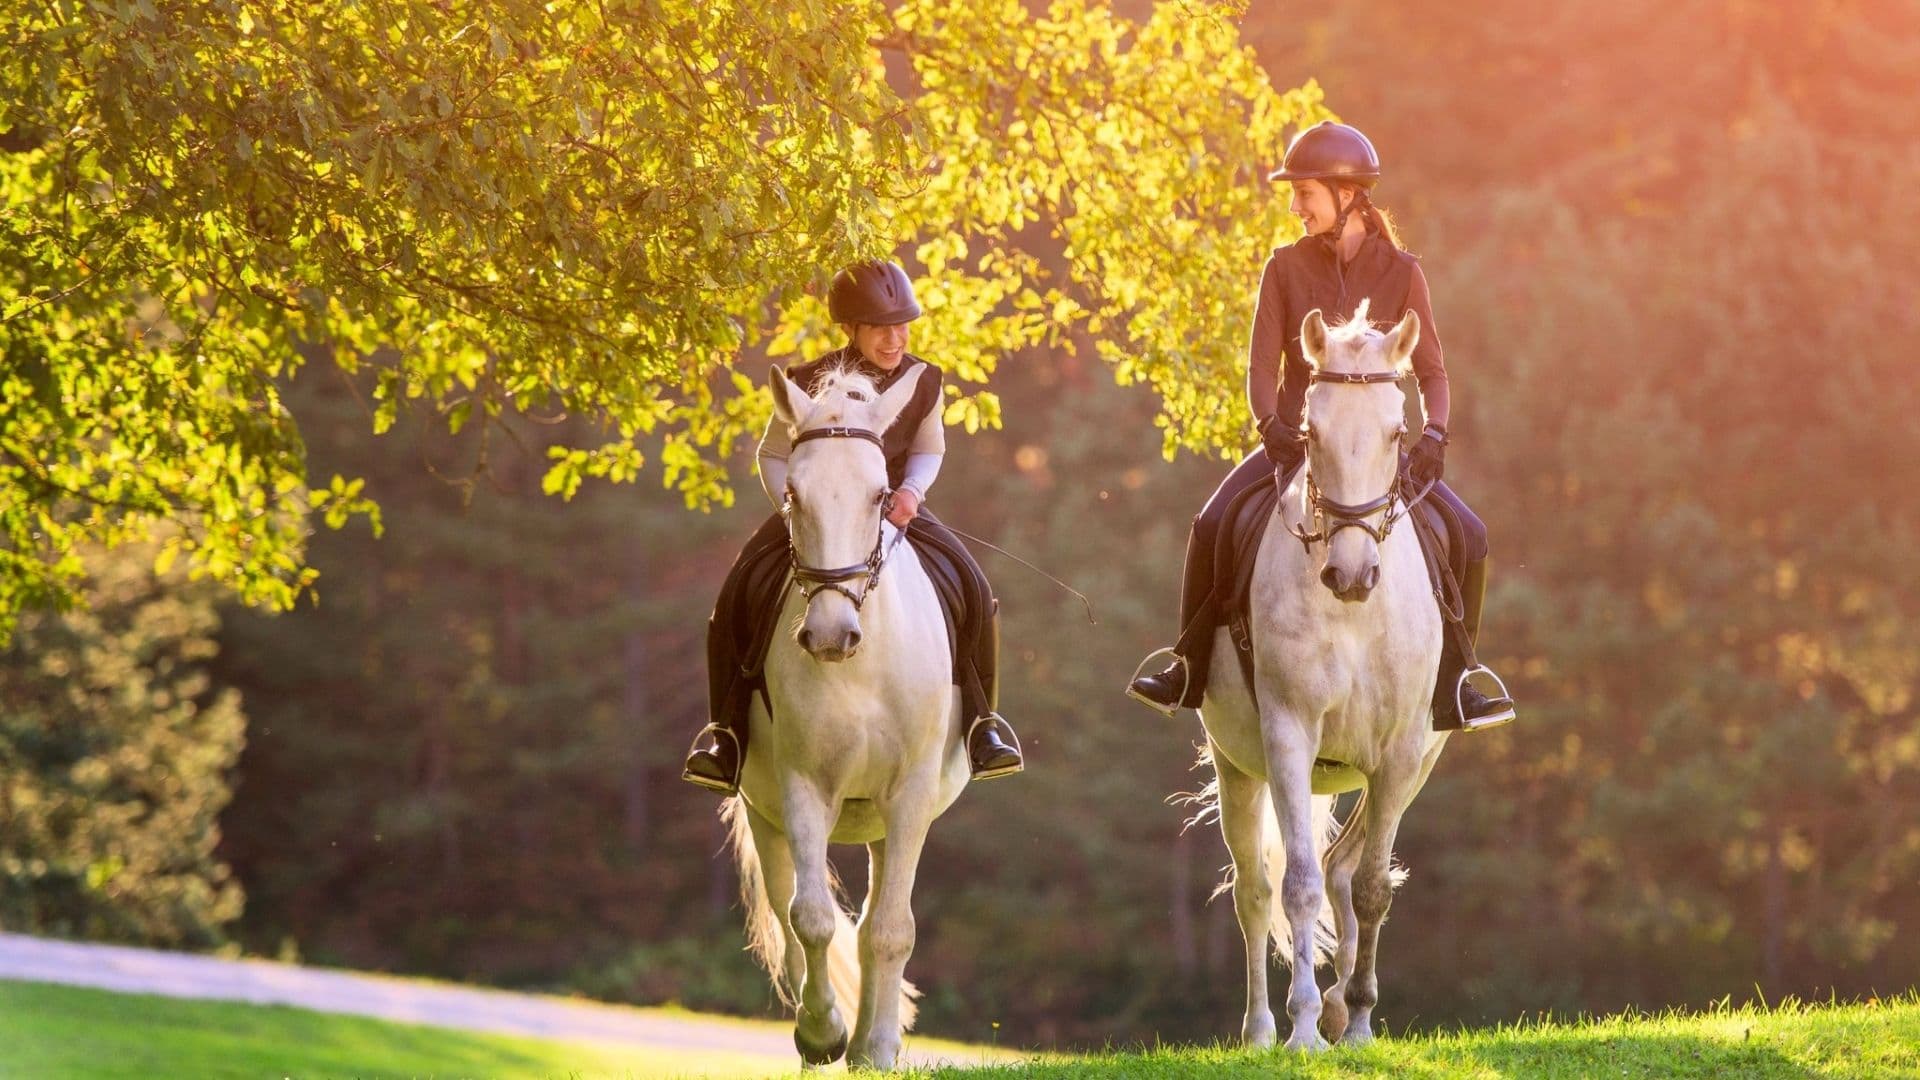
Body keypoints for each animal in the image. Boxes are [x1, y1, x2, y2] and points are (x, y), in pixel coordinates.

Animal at [719, 362, 972, 1070]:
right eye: (794, 495)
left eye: (881, 494)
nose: (831, 635)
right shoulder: (802, 787)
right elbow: (810, 918)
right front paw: (821, 1034)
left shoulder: (910, 795)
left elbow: (889, 930)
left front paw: (879, 1048)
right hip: (766, 814)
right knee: (791, 918)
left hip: (889, 824)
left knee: (875, 926)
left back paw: (867, 1044)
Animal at [1195, 302, 1452, 1050]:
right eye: (1311, 432)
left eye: (1399, 432)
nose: (1352, 574)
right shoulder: (1287, 737)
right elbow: (1298, 886)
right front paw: (1304, 1028)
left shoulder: (1400, 753)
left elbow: (1369, 889)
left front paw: (1358, 1019)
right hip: (1236, 764)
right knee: (1254, 890)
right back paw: (1260, 1030)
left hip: (1402, 768)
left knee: (1346, 869)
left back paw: (1342, 1005)